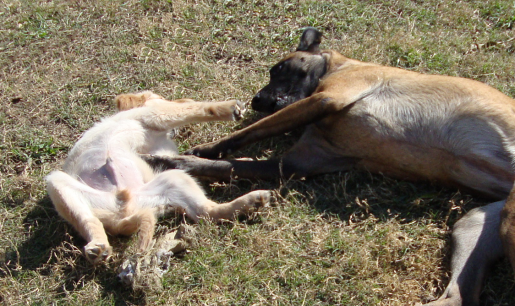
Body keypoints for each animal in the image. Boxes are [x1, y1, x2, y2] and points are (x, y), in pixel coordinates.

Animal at [45, 92, 270, 264]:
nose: (183, 99)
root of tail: (122, 216)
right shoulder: (157, 114)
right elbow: (198, 109)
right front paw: (229, 107)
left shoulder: (163, 155)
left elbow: (197, 163)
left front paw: (242, 160)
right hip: (56, 182)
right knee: (88, 220)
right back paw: (98, 247)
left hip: (173, 180)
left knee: (206, 212)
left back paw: (253, 201)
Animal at [144, 27, 515, 304]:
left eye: (279, 69)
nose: (257, 100)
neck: (341, 65)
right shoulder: (296, 162)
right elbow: (231, 165)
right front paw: (172, 160)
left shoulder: (327, 97)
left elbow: (249, 133)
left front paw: (209, 147)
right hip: (473, 225)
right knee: (457, 296)